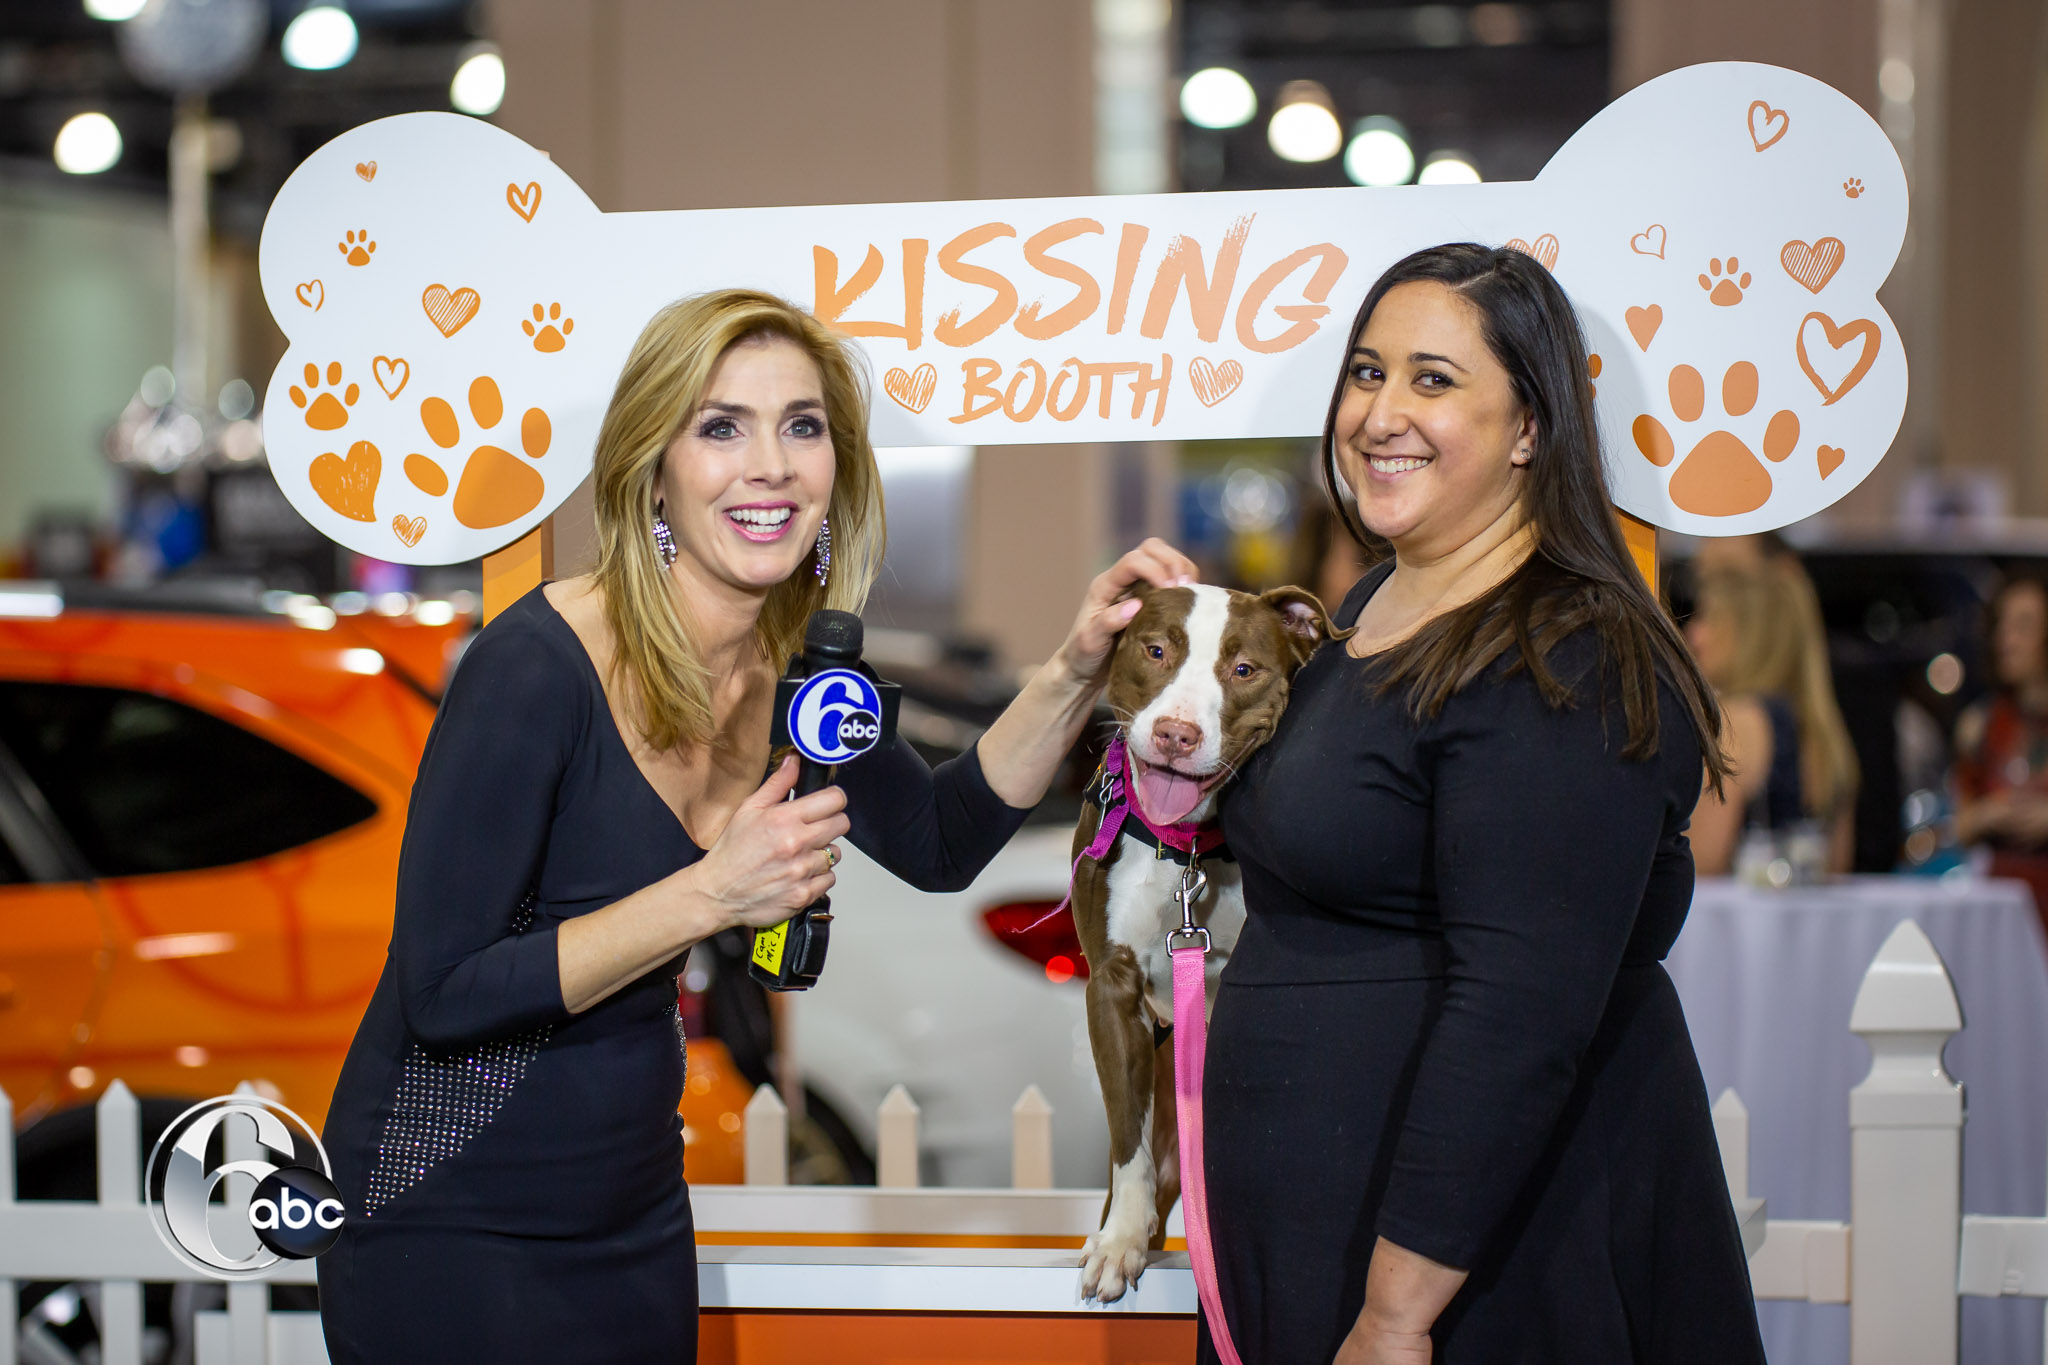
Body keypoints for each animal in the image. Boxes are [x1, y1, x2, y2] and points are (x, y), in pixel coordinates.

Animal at [1064, 581, 1335, 1301]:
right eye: (1156, 649)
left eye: (1244, 669)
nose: (1177, 734)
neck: (1183, 850)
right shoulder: (1111, 991)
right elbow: (1127, 1138)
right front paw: (1120, 1242)